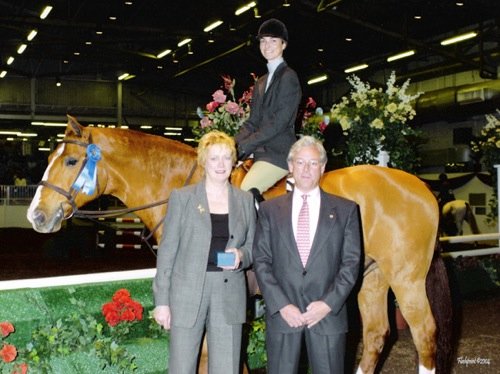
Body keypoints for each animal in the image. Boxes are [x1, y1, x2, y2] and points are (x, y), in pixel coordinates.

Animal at [27, 115, 454, 372]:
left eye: (70, 162)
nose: (36, 215)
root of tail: (422, 189)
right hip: (371, 277)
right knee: (378, 334)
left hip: (406, 280)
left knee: (424, 334)